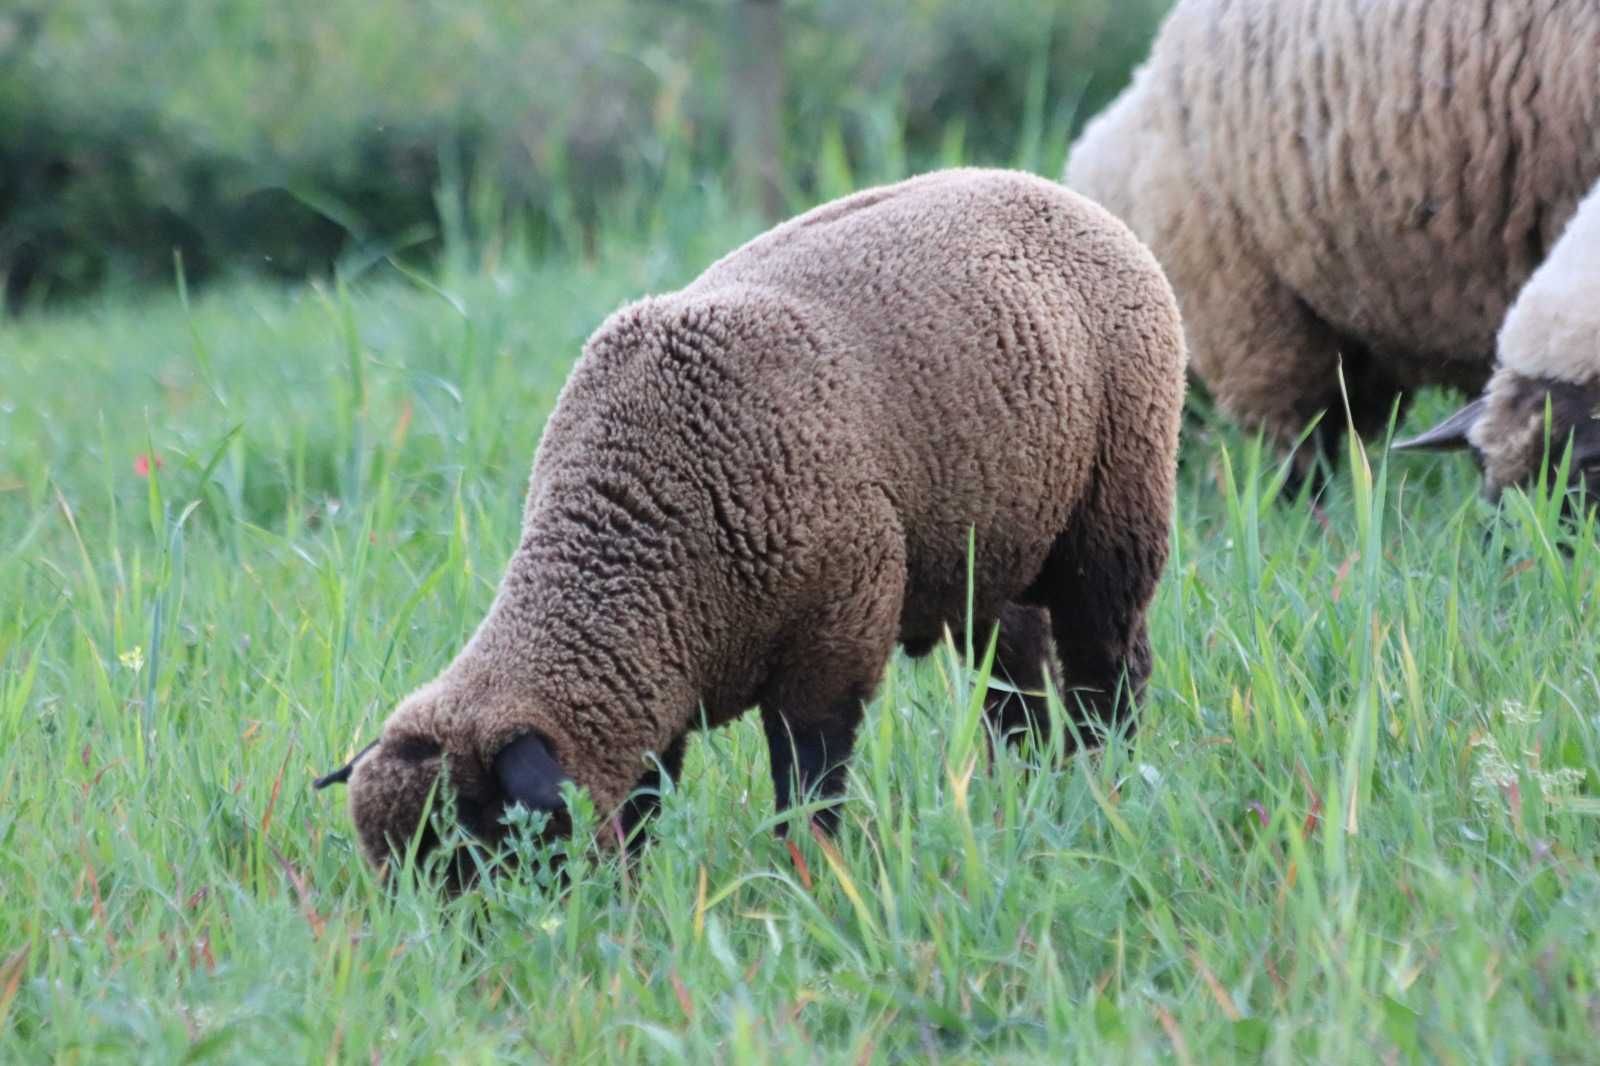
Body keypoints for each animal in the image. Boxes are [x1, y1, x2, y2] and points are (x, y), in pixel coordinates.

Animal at [315, 168, 1190, 870]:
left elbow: (808, 783)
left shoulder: (836, 636)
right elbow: (643, 799)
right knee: (1019, 687)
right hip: (995, 552)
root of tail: (1059, 192)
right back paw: (1030, 789)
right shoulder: (655, 688)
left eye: (480, 845)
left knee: (1110, 671)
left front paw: (809, 878)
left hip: (1116, 516)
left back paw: (1105, 786)